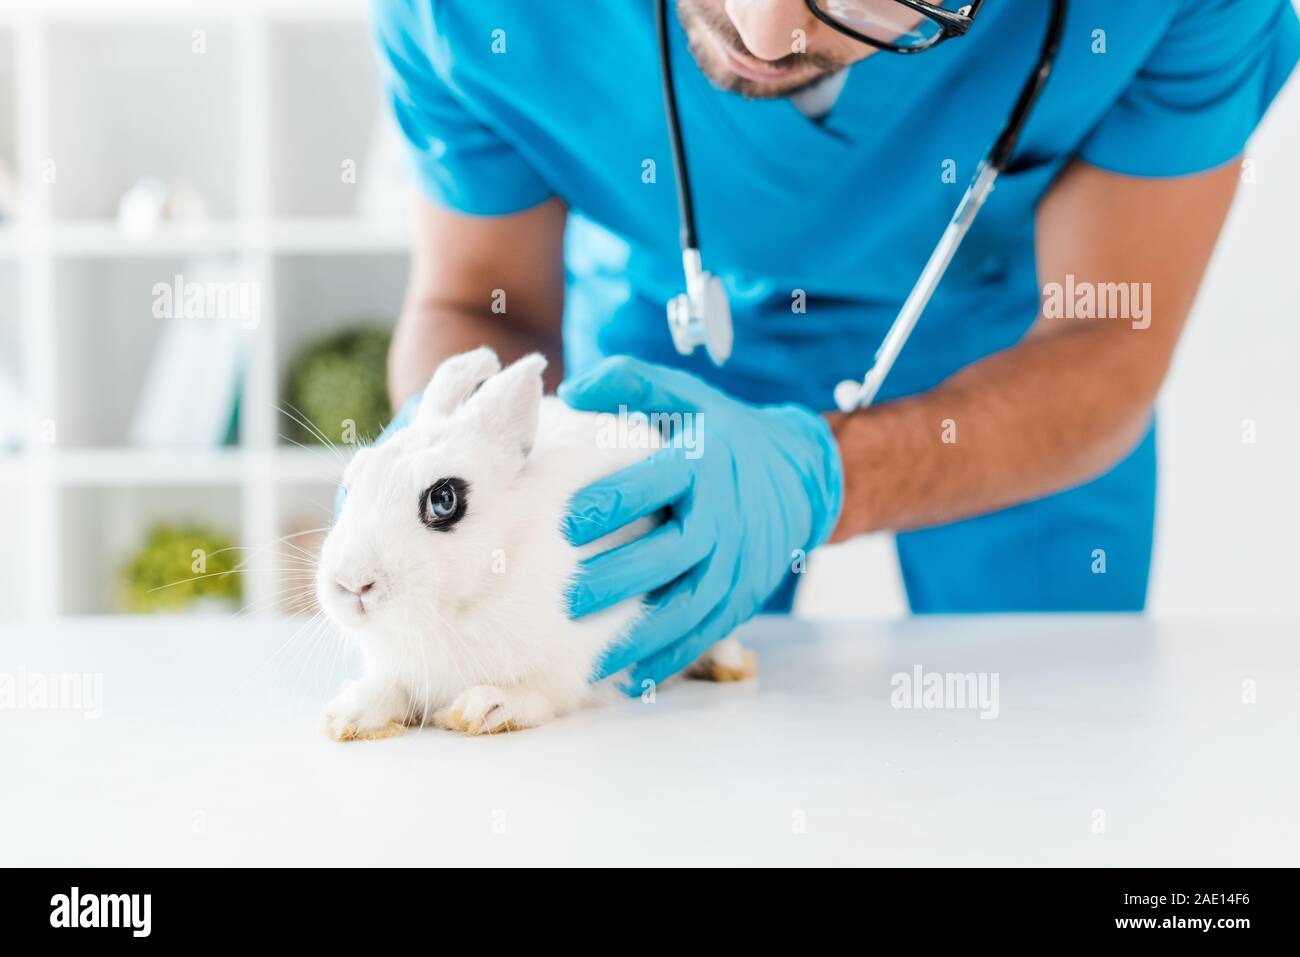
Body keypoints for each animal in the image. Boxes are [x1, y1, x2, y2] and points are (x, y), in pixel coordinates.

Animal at [314, 345, 759, 738]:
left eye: (444, 500)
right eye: (351, 486)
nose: (352, 584)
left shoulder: (586, 647)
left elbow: (544, 690)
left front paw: (487, 708)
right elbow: (391, 688)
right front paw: (351, 715)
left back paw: (730, 665)